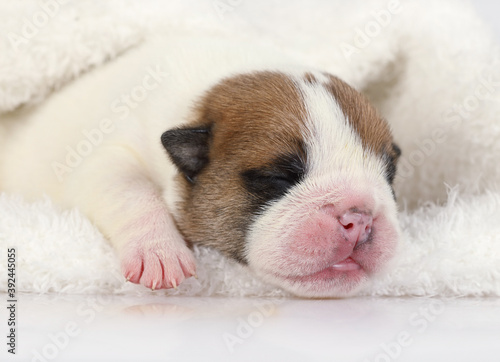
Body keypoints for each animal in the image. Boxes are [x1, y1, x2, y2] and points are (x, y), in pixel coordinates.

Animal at [0, 36, 400, 296]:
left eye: (389, 174)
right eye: (278, 177)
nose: (359, 218)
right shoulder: (110, 156)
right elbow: (131, 191)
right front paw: (159, 251)